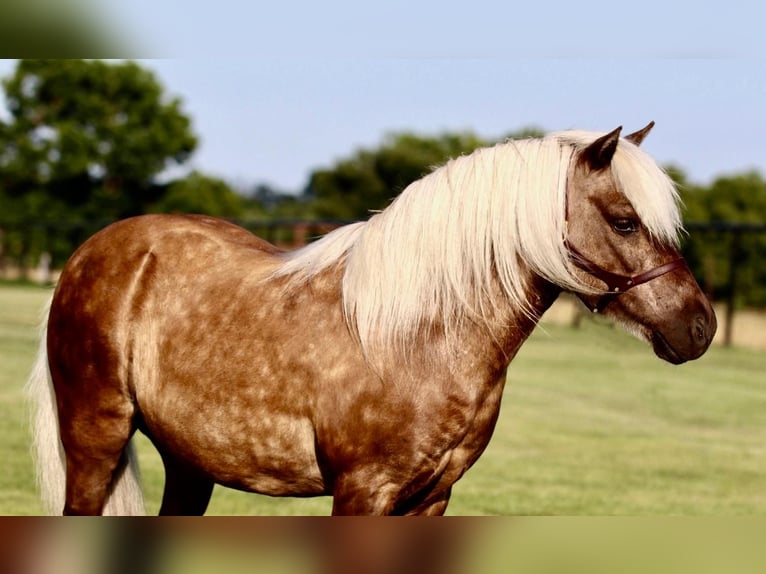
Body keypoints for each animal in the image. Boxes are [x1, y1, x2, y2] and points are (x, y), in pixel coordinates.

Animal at [27, 122, 716, 516]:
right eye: (624, 222)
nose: (700, 326)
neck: (420, 338)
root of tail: (92, 250)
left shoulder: (431, 498)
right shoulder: (363, 492)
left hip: (191, 463)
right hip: (95, 442)